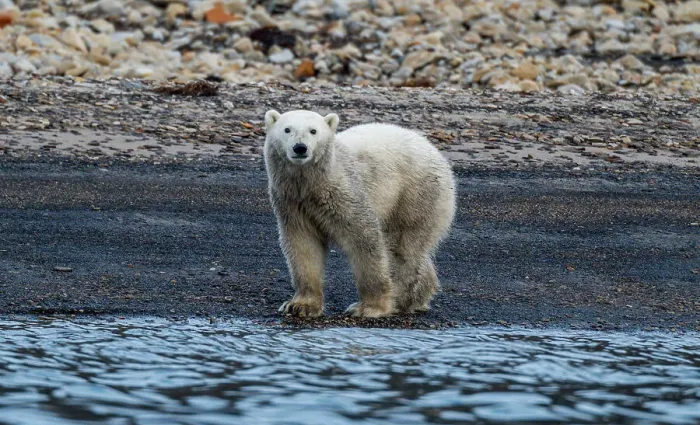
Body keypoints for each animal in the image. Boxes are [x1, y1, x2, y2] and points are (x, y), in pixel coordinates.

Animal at [263, 109, 456, 318]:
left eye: (313, 130)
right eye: (287, 129)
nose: (300, 148)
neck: (313, 184)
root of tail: (434, 151)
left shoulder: (345, 193)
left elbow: (364, 239)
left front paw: (369, 307)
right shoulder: (293, 204)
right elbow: (303, 245)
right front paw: (300, 305)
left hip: (415, 194)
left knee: (403, 248)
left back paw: (400, 299)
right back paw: (418, 297)